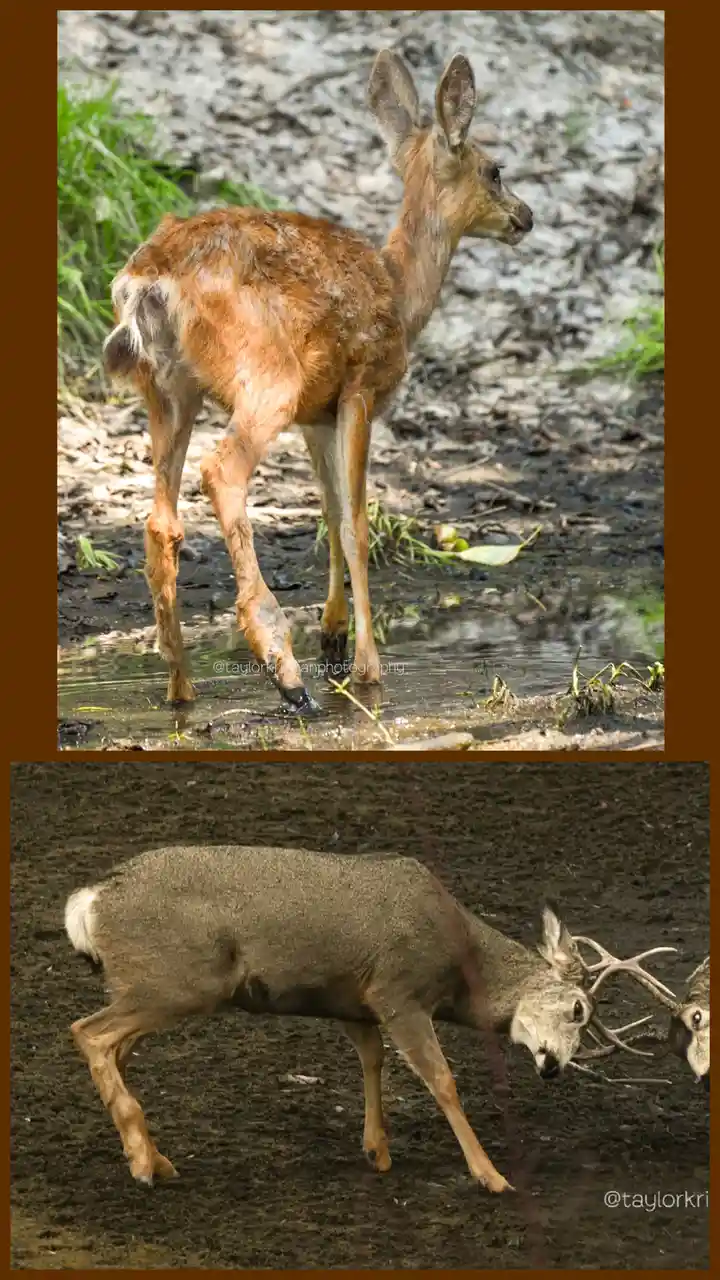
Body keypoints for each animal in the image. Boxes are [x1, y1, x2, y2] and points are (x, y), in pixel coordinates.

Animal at [64, 845, 674, 1192]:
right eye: (578, 1009)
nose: (553, 1068)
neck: (458, 962)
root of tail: (88, 900)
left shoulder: (354, 1002)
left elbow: (372, 1060)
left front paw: (377, 1150)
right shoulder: (399, 990)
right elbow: (442, 1081)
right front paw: (491, 1175)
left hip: (146, 983)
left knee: (111, 1048)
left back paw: (154, 1156)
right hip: (180, 980)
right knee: (87, 1032)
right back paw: (144, 1163)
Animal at [102, 51, 533, 710]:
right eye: (495, 170)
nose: (526, 217)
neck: (400, 292)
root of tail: (146, 280)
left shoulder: (317, 412)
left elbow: (328, 510)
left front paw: (332, 638)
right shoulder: (360, 388)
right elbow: (355, 523)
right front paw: (364, 669)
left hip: (170, 389)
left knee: (160, 521)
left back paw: (181, 685)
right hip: (265, 375)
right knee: (221, 472)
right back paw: (282, 667)